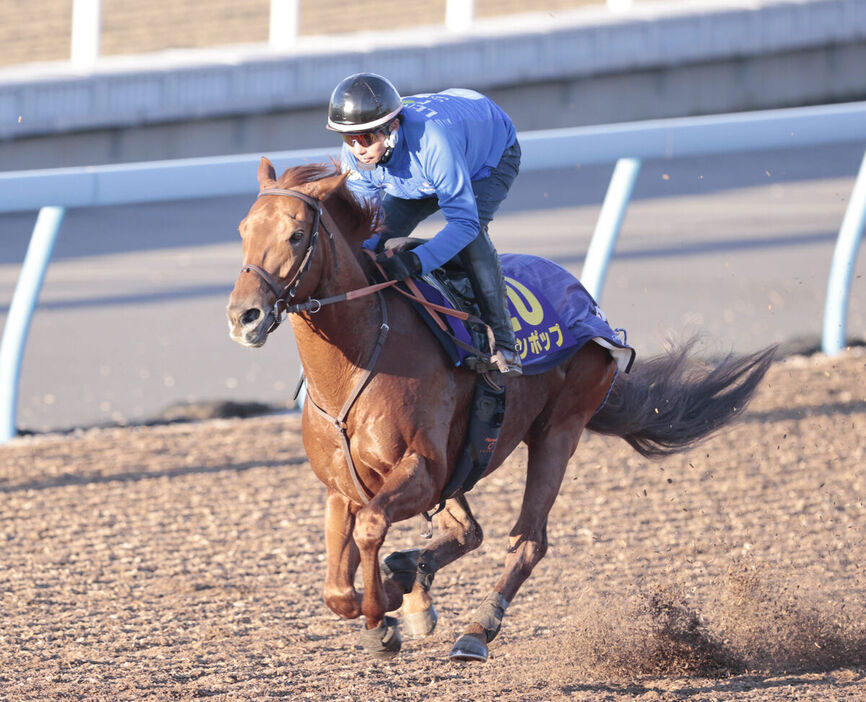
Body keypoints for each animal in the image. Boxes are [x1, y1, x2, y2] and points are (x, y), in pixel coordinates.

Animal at [226, 161, 772, 664]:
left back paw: (475, 630)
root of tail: (589, 304)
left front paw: (383, 620)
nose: (243, 316)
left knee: (527, 541)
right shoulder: (344, 485)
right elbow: (337, 590)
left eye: (297, 234)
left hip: (557, 432)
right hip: (470, 461)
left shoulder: (424, 469)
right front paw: (393, 599)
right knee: (469, 531)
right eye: (243, 230)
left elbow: (371, 530)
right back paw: (412, 580)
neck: (357, 360)